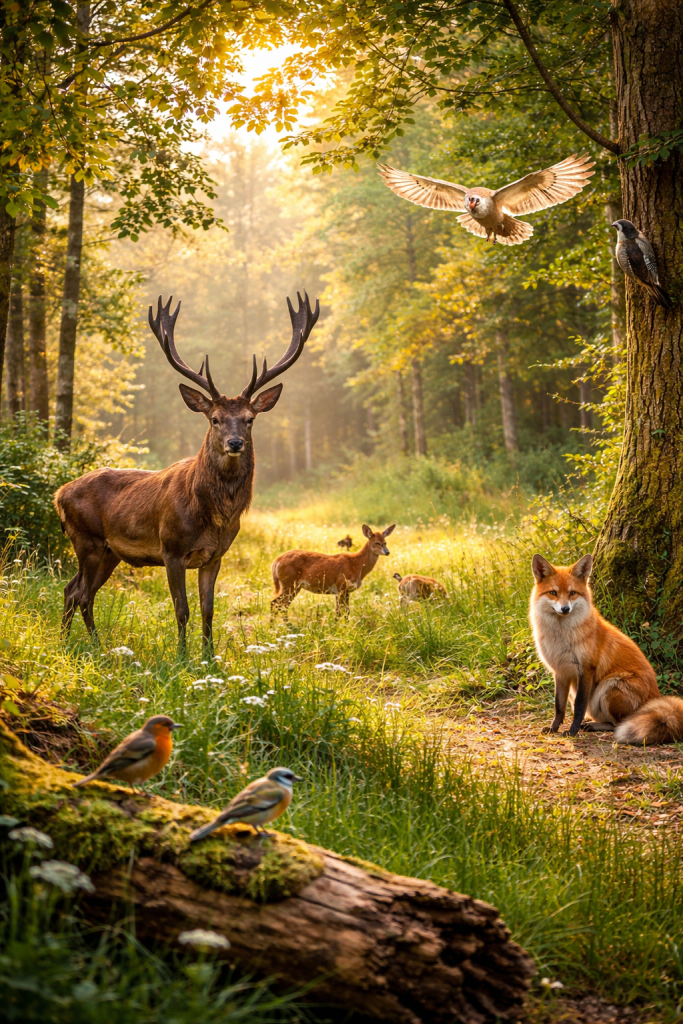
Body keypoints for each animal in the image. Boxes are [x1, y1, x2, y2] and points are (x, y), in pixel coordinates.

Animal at [54, 291, 320, 648]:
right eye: (215, 419)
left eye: (250, 419)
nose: (235, 442)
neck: (214, 516)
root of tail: (59, 494)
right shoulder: (171, 549)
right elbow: (182, 610)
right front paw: (181, 656)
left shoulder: (215, 555)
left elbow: (208, 610)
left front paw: (208, 656)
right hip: (86, 539)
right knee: (80, 592)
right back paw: (95, 646)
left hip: (110, 551)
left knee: (74, 590)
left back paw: (70, 642)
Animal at [529, 552, 683, 744]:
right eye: (553, 593)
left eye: (572, 593)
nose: (565, 609)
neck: (560, 638)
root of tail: (655, 698)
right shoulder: (560, 671)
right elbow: (559, 706)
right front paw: (553, 728)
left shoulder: (586, 669)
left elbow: (579, 707)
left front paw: (572, 731)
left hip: (610, 686)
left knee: (619, 724)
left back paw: (594, 726)